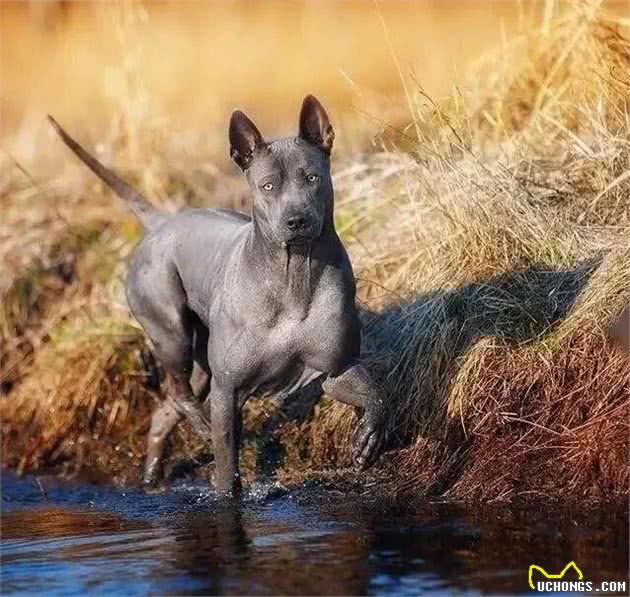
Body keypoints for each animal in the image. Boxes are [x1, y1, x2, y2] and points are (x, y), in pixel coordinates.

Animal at [49, 94, 388, 494]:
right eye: (267, 186)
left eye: (312, 177)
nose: (297, 220)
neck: (293, 276)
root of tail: (163, 222)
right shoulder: (229, 391)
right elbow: (227, 468)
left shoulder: (337, 369)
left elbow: (376, 396)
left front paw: (367, 440)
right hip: (172, 332)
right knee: (181, 395)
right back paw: (199, 425)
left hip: (200, 363)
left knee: (166, 410)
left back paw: (152, 474)